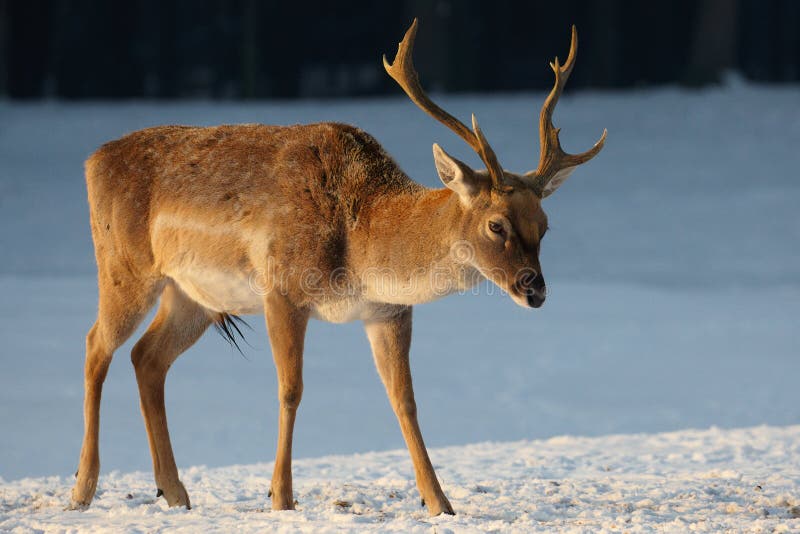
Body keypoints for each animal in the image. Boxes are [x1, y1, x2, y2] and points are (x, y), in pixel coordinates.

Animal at [69, 19, 605, 516]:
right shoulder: (283, 289)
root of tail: (92, 161)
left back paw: (175, 492)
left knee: (147, 357)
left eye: (545, 225)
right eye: (496, 224)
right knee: (97, 345)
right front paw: (281, 498)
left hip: (194, 295)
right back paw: (83, 488)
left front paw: (440, 503)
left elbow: (405, 401)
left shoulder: (388, 311)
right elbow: (291, 390)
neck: (360, 243)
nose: (534, 289)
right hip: (124, 266)